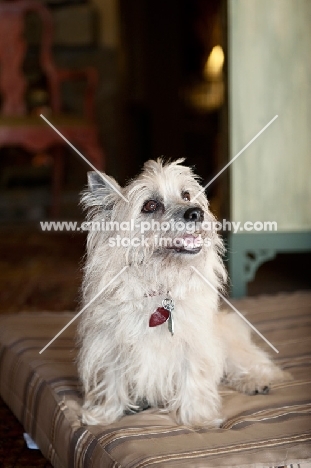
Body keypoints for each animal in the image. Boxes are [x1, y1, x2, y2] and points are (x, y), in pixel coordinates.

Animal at [77, 158, 288, 428]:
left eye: (186, 195)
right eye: (150, 205)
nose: (196, 212)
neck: (158, 288)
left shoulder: (193, 345)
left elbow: (193, 379)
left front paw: (196, 419)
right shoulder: (109, 347)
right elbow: (111, 382)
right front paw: (105, 415)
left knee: (253, 363)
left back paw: (255, 381)